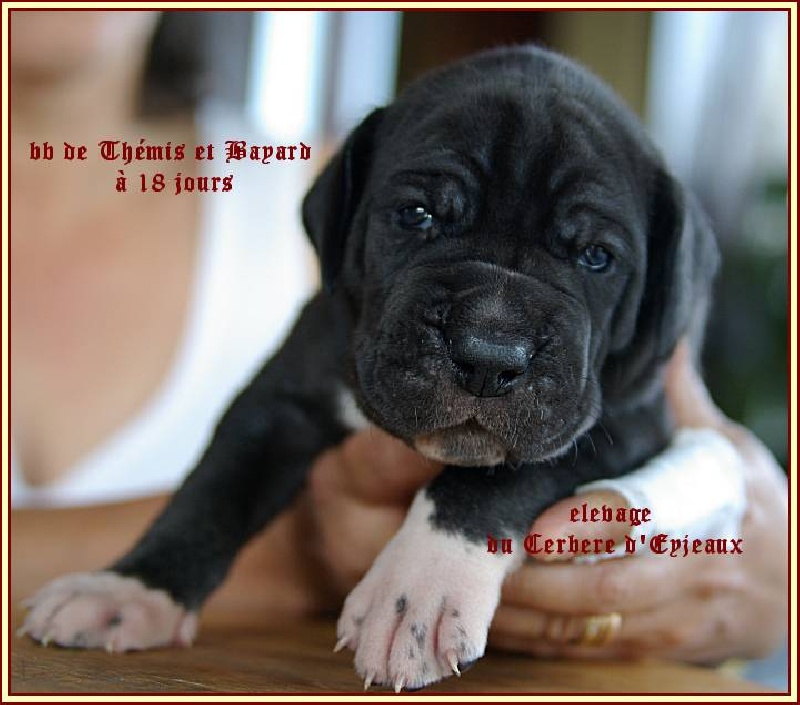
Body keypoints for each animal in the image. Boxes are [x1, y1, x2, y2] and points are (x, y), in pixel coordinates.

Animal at [21, 45, 719, 691]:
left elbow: (492, 480)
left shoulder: (620, 423)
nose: (488, 353)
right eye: (417, 215)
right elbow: (214, 488)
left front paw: (419, 591)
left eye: (597, 257)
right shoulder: (282, 399)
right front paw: (130, 589)